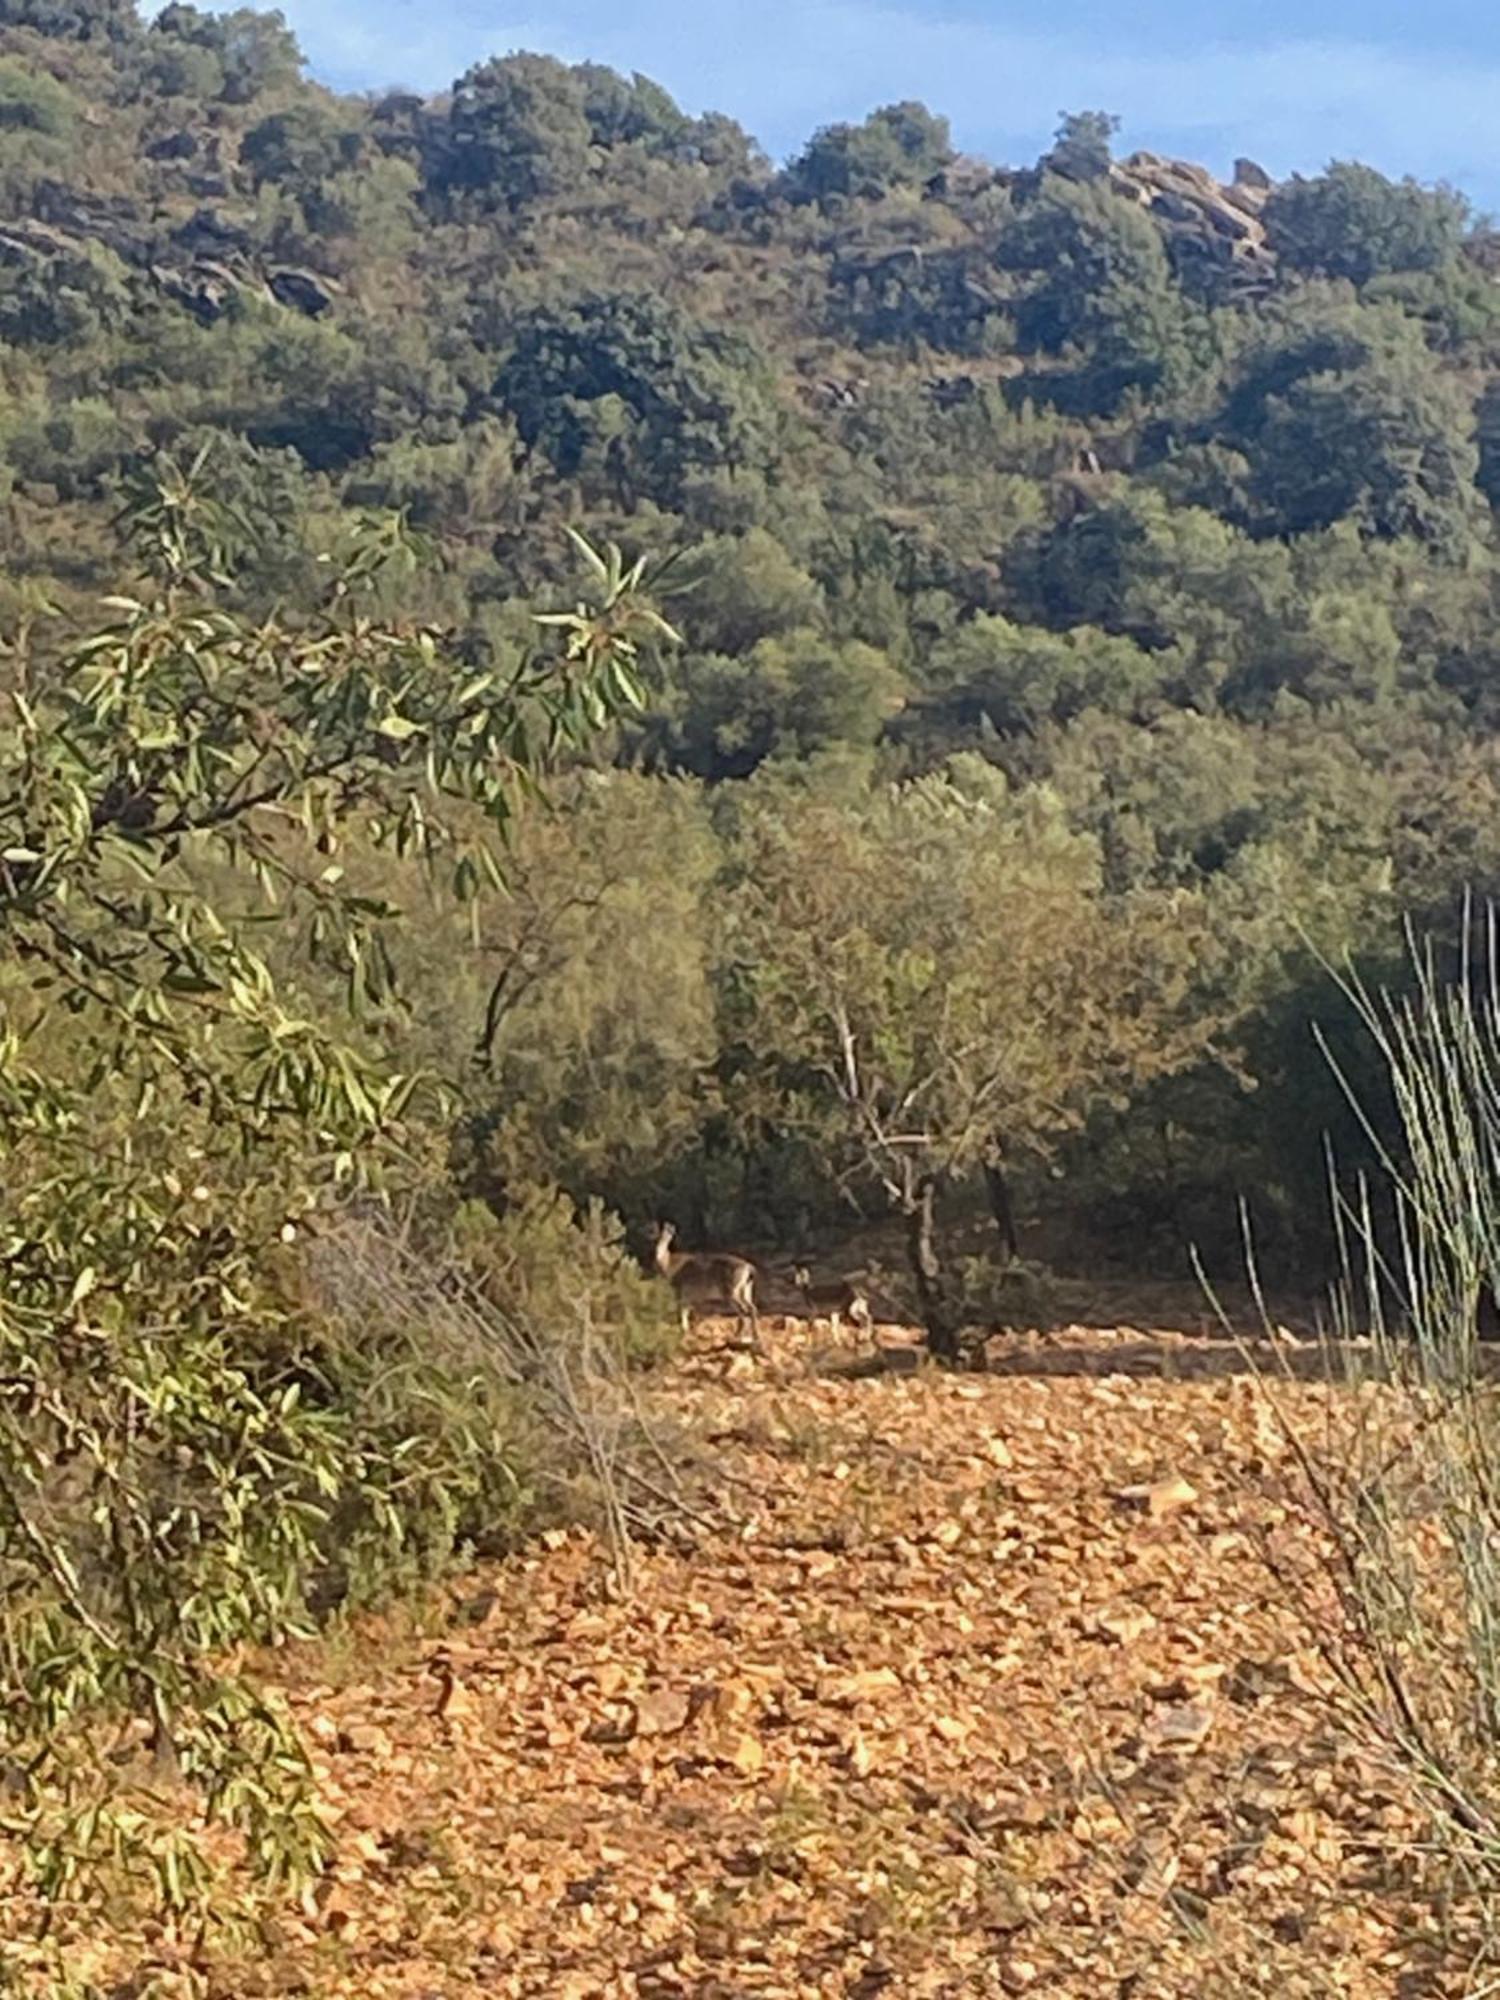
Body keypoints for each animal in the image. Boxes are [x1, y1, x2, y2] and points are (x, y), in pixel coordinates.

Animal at [652, 1216, 764, 1360]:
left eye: (667, 1238)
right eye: (655, 1237)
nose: (657, 1251)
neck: (668, 1264)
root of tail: (749, 1269)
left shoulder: (680, 1291)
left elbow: (683, 1313)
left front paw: (684, 1332)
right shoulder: (689, 1297)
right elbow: (688, 1312)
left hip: (731, 1292)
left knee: (744, 1311)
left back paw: (738, 1336)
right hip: (746, 1291)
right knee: (752, 1309)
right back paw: (754, 1336)